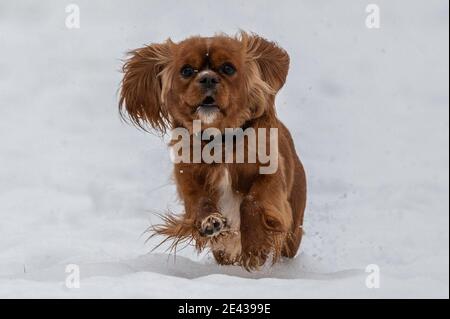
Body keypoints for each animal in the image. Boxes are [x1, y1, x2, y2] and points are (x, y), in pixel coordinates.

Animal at [119, 31, 308, 272]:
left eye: (228, 68)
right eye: (186, 70)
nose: (208, 78)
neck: (220, 142)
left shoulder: (271, 177)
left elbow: (251, 202)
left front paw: (254, 247)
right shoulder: (188, 176)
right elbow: (200, 201)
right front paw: (211, 222)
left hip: (294, 230)